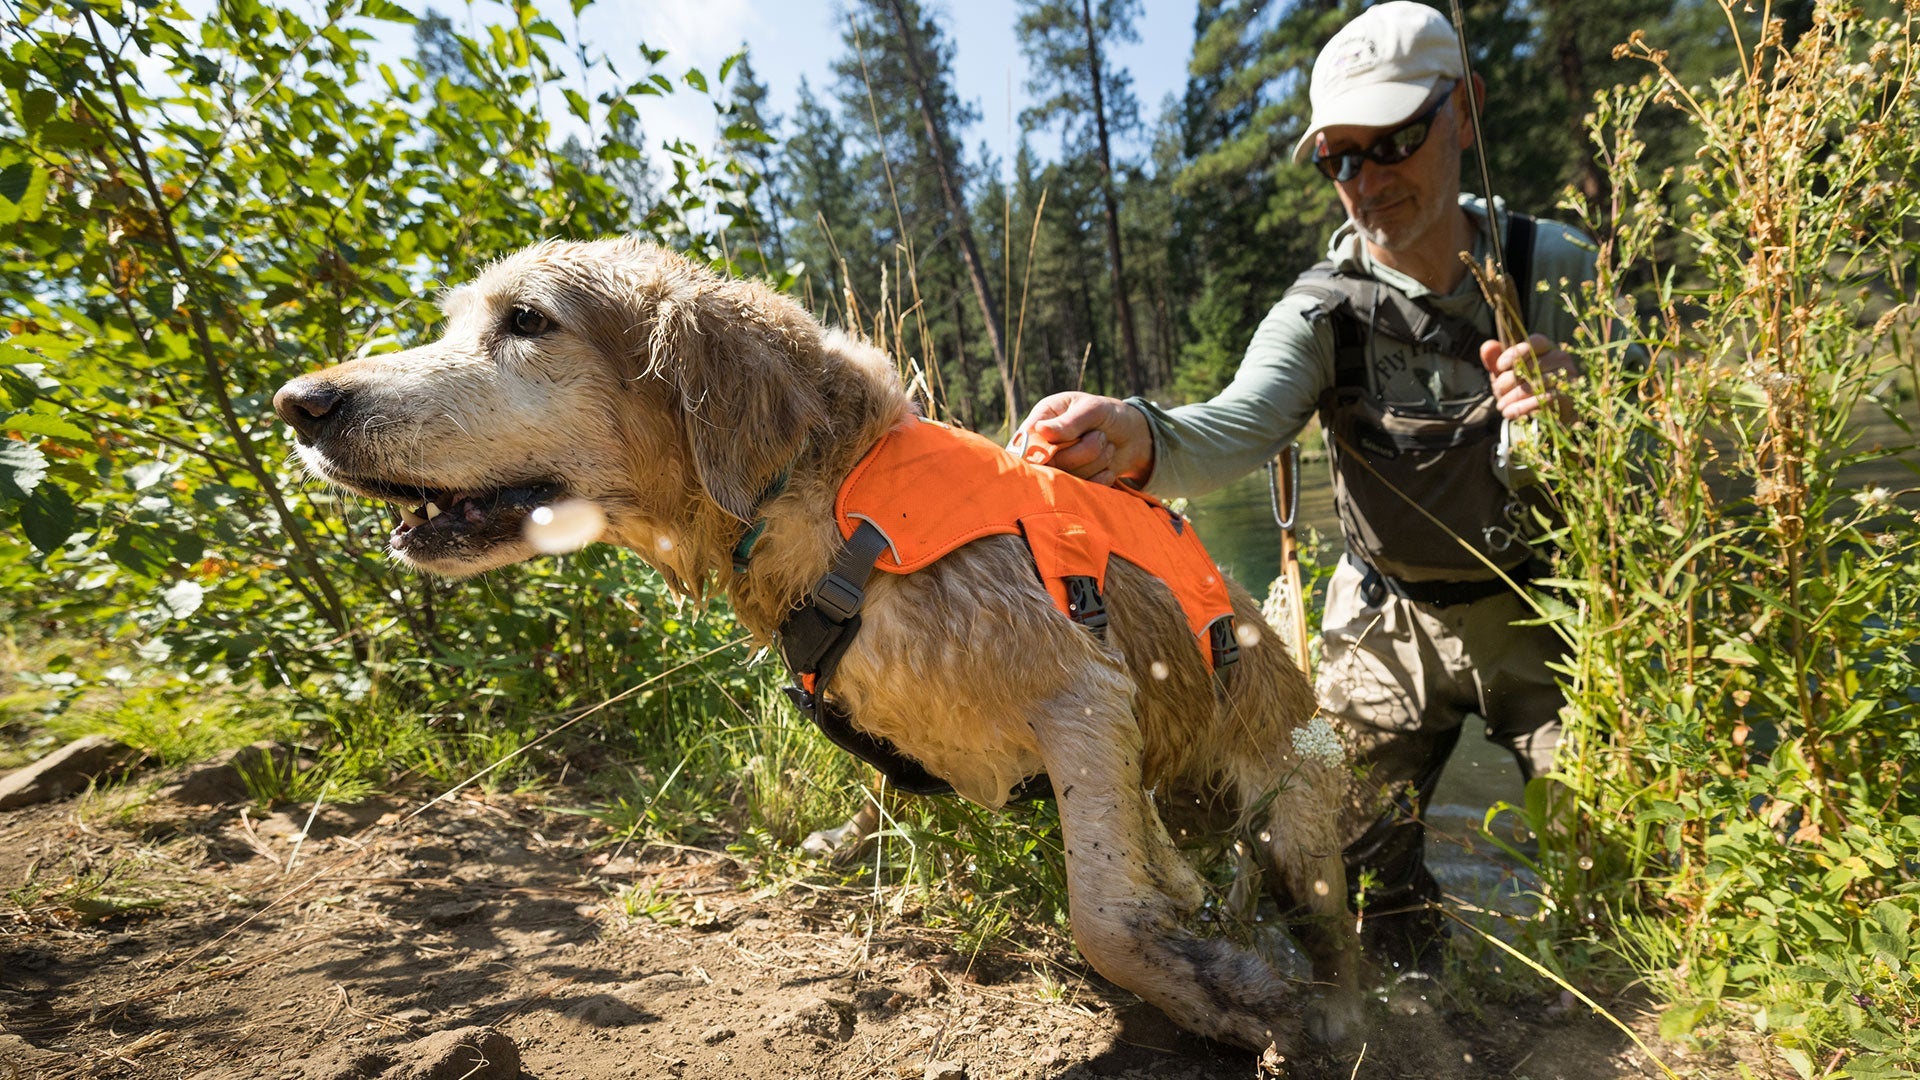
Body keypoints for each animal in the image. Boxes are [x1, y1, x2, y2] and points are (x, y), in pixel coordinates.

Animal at [274, 235, 1367, 1053]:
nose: (301, 403)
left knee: (1335, 929)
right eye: (460, 318)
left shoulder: (1083, 690)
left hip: (1301, 813)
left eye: (528, 321)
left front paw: (1229, 994)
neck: (834, 505)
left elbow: (1101, 918)